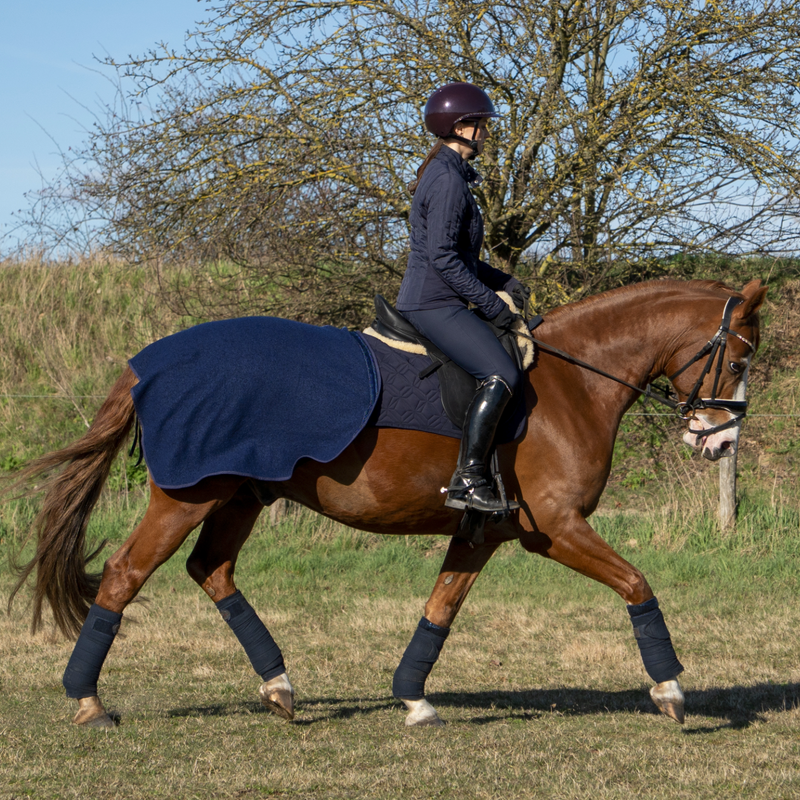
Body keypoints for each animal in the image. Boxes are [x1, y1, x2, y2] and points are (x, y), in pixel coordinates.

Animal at [7, 278, 767, 730]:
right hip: (186, 498)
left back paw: (279, 687)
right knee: (124, 576)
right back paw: (89, 702)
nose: (721, 441)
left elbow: (441, 609)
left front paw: (414, 696)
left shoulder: (483, 531)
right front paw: (670, 691)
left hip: (241, 496)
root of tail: (149, 363)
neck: (573, 382)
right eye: (739, 359)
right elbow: (637, 583)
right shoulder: (554, 527)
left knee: (212, 571)